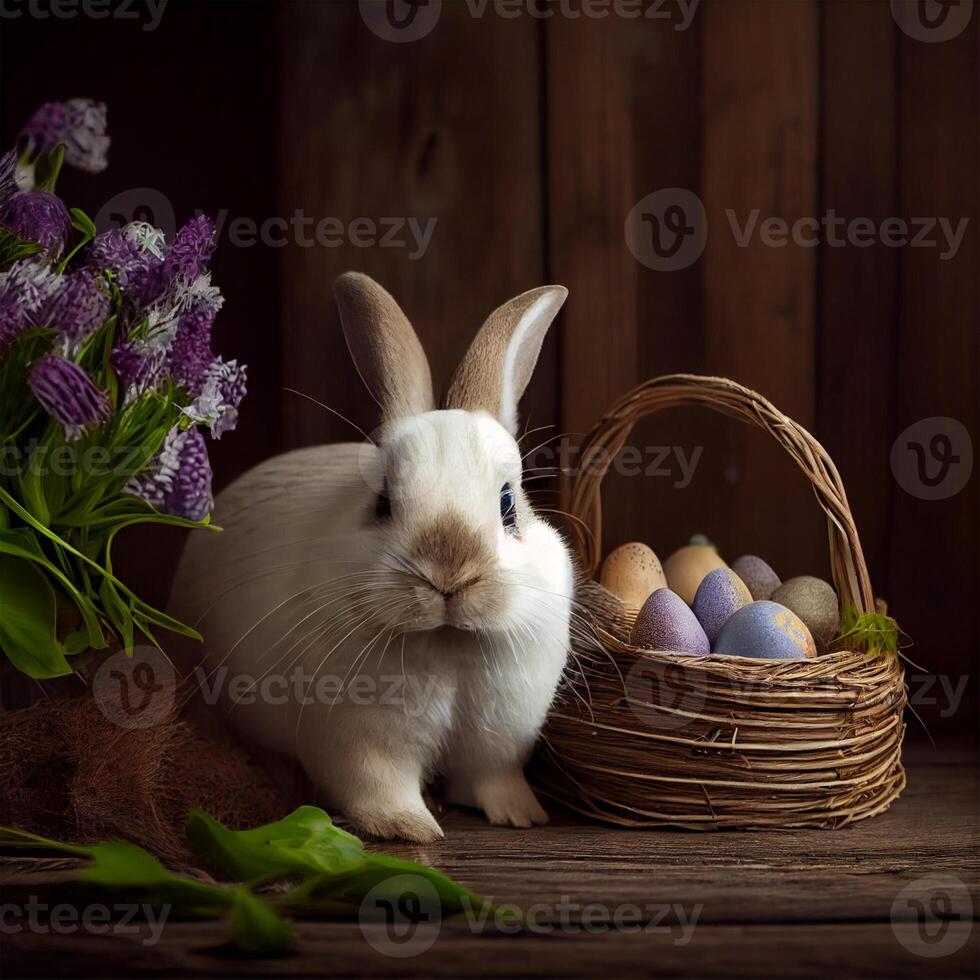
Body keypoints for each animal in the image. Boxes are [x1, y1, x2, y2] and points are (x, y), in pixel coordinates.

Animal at [168, 274, 576, 844]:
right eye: (382, 503)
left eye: (508, 504)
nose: (448, 577)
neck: (448, 644)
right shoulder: (361, 745)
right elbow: (379, 787)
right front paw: (412, 828)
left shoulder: (496, 744)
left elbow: (492, 778)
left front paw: (522, 816)